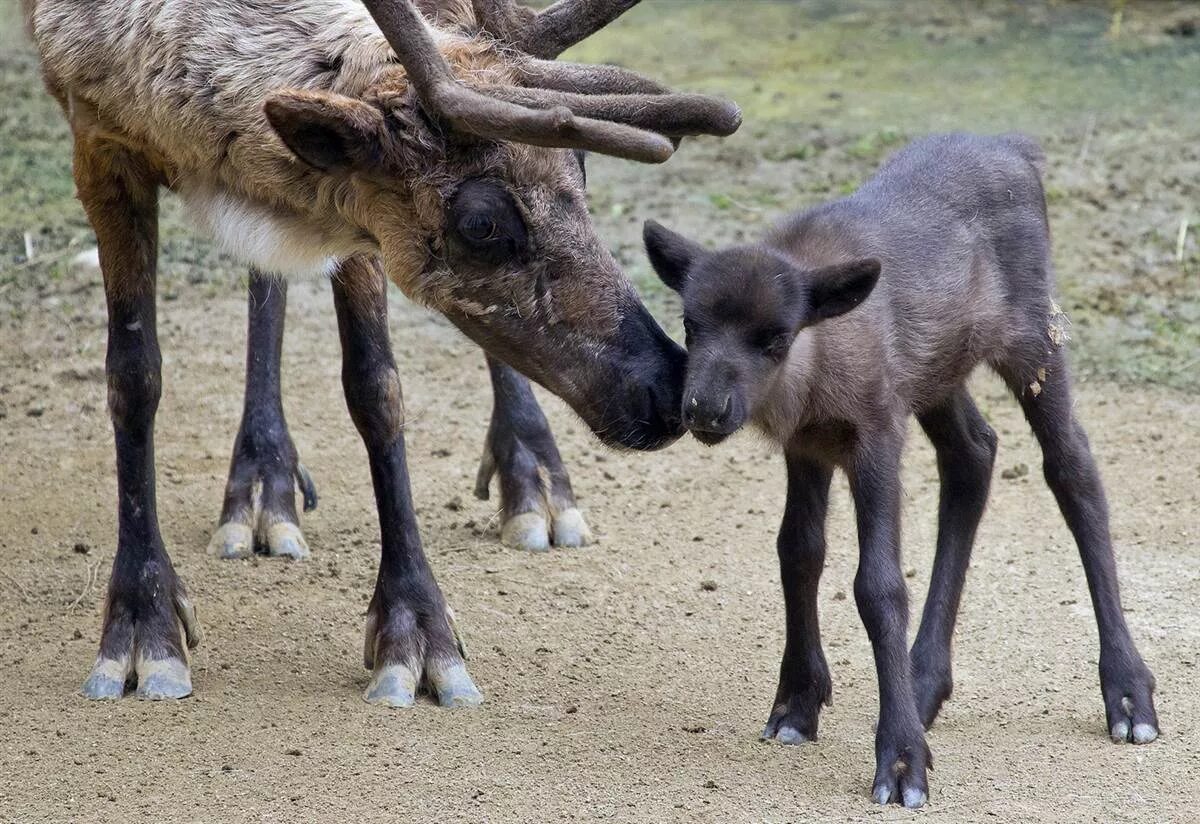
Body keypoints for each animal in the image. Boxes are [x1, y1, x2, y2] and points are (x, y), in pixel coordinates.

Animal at [643, 131, 1156, 810]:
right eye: (689, 323)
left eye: (775, 337)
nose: (703, 409)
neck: (815, 370)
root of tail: (1017, 146)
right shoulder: (808, 446)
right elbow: (798, 552)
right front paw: (796, 705)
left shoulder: (877, 434)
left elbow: (879, 586)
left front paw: (902, 761)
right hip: (938, 372)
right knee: (973, 452)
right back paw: (923, 682)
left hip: (1034, 338)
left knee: (1073, 468)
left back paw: (1126, 692)